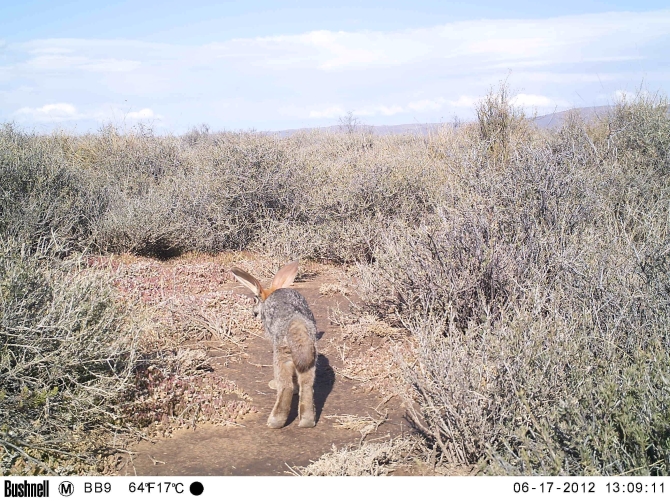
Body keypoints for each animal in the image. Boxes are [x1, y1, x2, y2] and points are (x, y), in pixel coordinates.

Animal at [230, 261, 317, 428]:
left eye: (255, 300)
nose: (253, 313)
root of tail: (296, 324)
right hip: (309, 358)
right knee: (307, 385)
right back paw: (307, 422)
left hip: (282, 354)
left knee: (286, 386)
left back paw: (274, 421)